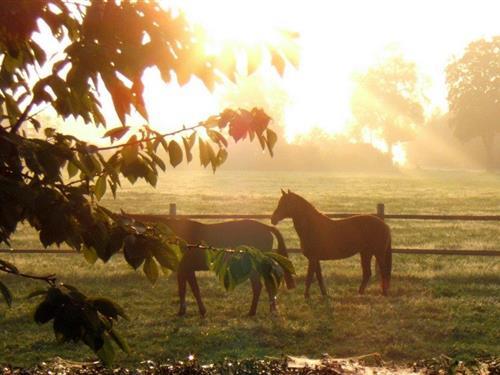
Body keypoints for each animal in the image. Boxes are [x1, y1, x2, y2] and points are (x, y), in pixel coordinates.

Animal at [129, 216, 294, 316]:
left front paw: (196, 311)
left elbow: (192, 290)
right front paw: (187, 311)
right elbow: (186, 290)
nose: (133, 259)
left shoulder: (186, 270)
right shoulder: (184, 271)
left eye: (138, 238)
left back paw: (256, 311)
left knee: (261, 286)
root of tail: (266, 228)